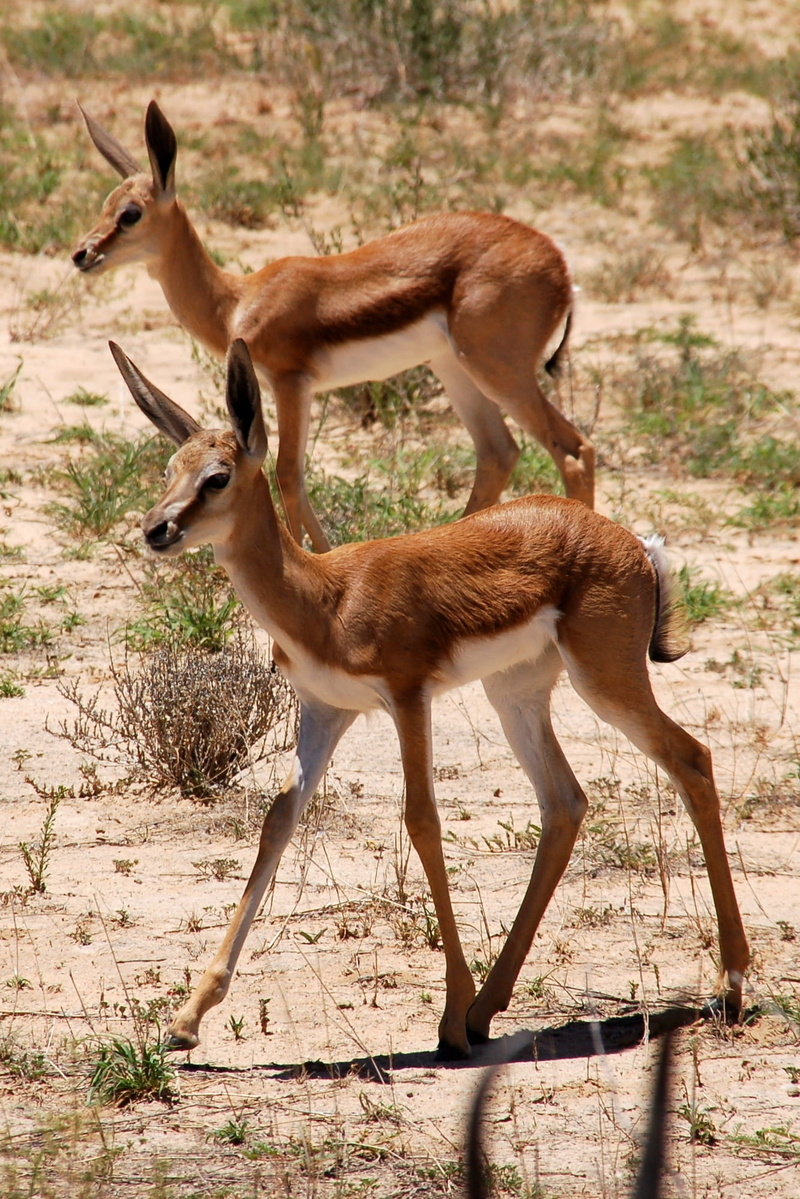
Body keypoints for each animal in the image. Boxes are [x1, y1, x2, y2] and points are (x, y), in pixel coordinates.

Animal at [73, 100, 594, 554]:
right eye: (104, 205)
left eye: (130, 214)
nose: (82, 253)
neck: (237, 300)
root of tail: (559, 264)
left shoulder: (290, 384)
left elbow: (287, 473)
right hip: (454, 369)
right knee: (498, 454)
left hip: (499, 372)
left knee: (573, 449)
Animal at [107, 336, 749, 1058]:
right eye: (170, 468)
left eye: (216, 476)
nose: (156, 530)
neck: (325, 598)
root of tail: (633, 542)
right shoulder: (327, 710)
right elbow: (278, 820)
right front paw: (186, 1018)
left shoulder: (409, 698)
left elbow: (422, 819)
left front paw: (447, 1019)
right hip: (515, 694)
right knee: (565, 801)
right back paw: (489, 1007)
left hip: (605, 681)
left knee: (691, 759)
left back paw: (730, 984)